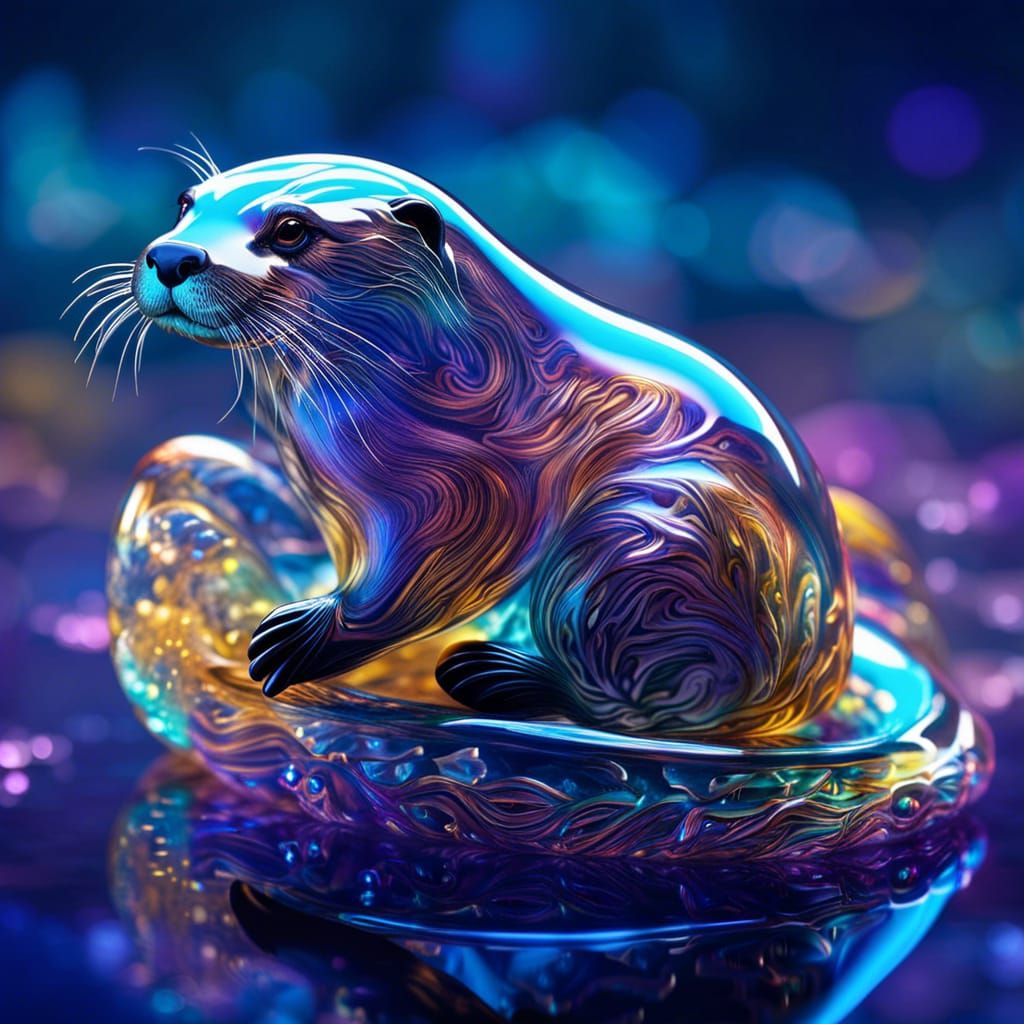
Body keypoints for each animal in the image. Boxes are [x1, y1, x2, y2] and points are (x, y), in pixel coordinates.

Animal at [115, 153, 852, 740]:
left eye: (291, 229)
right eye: (185, 204)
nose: (173, 257)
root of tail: (813, 674)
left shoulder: (468, 486)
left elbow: (423, 580)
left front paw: (302, 638)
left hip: (643, 539)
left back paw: (493, 673)